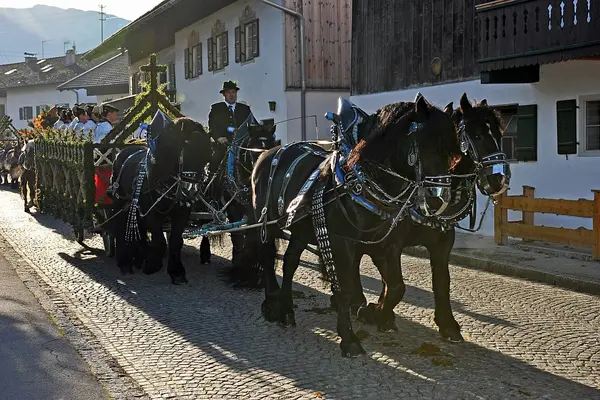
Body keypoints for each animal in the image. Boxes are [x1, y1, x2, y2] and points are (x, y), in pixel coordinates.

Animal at [110, 111, 213, 282]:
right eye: (186, 150)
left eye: (207, 154)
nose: (190, 191)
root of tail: (123, 151)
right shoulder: (148, 212)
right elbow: (159, 240)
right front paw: (153, 265)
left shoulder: (182, 212)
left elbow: (175, 240)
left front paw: (176, 271)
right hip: (119, 200)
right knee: (119, 226)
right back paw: (125, 263)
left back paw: (139, 257)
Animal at [239, 96, 464, 356]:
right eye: (426, 144)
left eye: (453, 153)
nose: (439, 201)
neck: (361, 183)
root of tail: (267, 153)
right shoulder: (343, 242)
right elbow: (347, 287)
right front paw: (349, 336)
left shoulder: (384, 244)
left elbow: (397, 286)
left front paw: (377, 314)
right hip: (266, 223)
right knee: (267, 258)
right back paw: (272, 303)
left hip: (301, 230)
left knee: (290, 262)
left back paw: (286, 309)